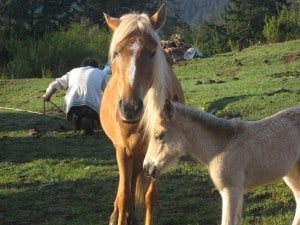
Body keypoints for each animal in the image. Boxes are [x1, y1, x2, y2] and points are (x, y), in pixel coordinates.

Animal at [101, 4, 184, 225]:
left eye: (152, 52)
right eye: (116, 52)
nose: (130, 108)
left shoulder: (156, 152)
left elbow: (149, 197)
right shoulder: (122, 150)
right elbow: (124, 196)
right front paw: (120, 214)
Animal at [143, 100, 300, 225]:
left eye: (159, 136)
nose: (147, 168)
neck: (221, 146)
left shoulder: (231, 190)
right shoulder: (237, 191)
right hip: (291, 174)